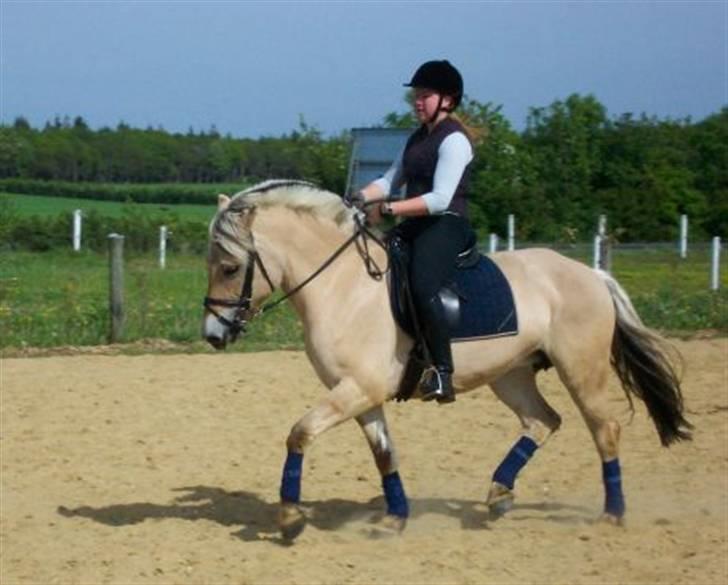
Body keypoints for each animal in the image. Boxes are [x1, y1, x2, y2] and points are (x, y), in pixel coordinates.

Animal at [202, 179, 692, 541]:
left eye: (230, 267)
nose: (213, 335)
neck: (344, 286)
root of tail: (591, 273)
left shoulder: (357, 389)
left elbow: (299, 433)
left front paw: (289, 517)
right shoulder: (361, 394)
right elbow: (384, 454)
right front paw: (394, 518)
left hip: (581, 371)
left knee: (604, 429)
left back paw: (612, 514)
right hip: (510, 374)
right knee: (543, 421)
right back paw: (499, 494)